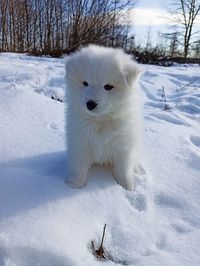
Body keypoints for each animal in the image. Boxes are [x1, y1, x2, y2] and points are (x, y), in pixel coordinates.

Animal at [65, 45, 141, 191]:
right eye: (85, 83)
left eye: (108, 86)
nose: (90, 104)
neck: (100, 120)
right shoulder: (79, 140)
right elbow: (79, 163)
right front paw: (75, 183)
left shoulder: (124, 144)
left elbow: (123, 166)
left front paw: (126, 184)